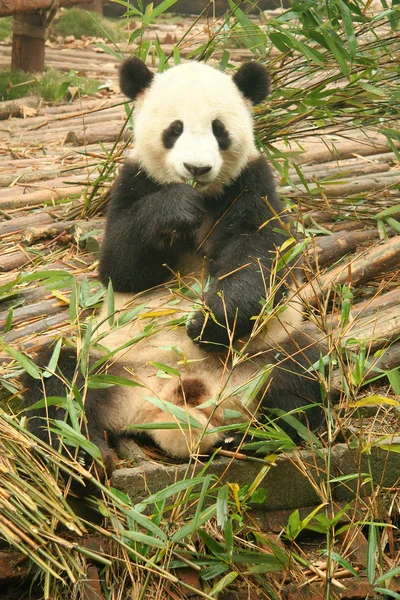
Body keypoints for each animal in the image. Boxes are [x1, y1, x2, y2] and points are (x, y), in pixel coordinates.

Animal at [22, 56, 324, 474]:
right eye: (174, 129)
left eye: (219, 130)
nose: (196, 168)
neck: (206, 195)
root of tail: (174, 408)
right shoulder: (133, 180)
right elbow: (119, 264)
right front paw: (176, 208)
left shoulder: (252, 182)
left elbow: (261, 254)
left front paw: (208, 322)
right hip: (115, 367)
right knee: (58, 379)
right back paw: (79, 454)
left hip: (259, 358)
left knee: (301, 372)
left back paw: (258, 438)